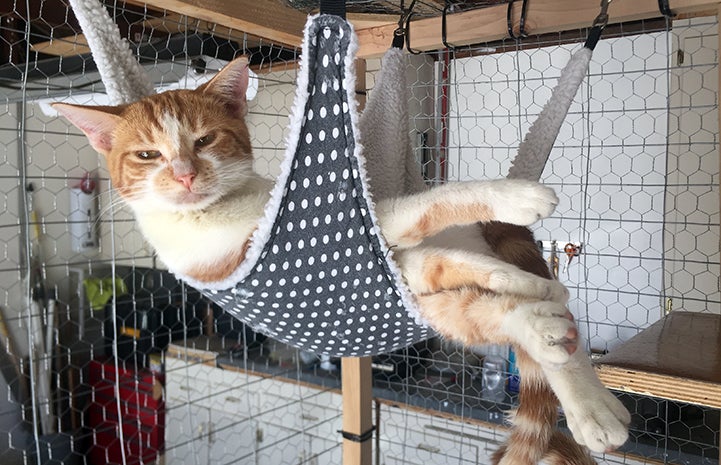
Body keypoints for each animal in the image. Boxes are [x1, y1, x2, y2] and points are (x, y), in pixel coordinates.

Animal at [54, 54, 632, 460]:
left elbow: (450, 236)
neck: (223, 211)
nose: (184, 174)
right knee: (492, 314)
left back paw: (592, 403)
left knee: (521, 318)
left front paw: (521, 235)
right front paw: (519, 215)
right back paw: (546, 328)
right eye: (147, 154)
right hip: (435, 305)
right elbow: (431, 217)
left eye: (205, 139)